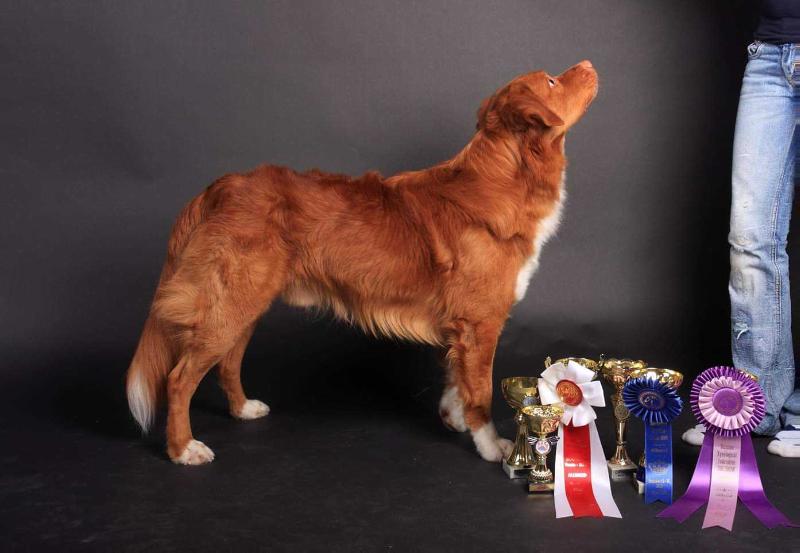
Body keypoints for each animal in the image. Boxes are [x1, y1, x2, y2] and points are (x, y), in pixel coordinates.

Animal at [125, 60, 596, 464]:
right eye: (552, 81)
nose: (589, 64)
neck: (504, 177)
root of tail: (220, 187)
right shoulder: (480, 323)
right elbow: (479, 391)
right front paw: (491, 446)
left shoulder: (459, 325)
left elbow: (455, 377)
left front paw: (452, 415)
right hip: (230, 305)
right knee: (179, 378)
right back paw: (183, 449)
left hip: (245, 305)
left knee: (227, 361)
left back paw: (243, 409)